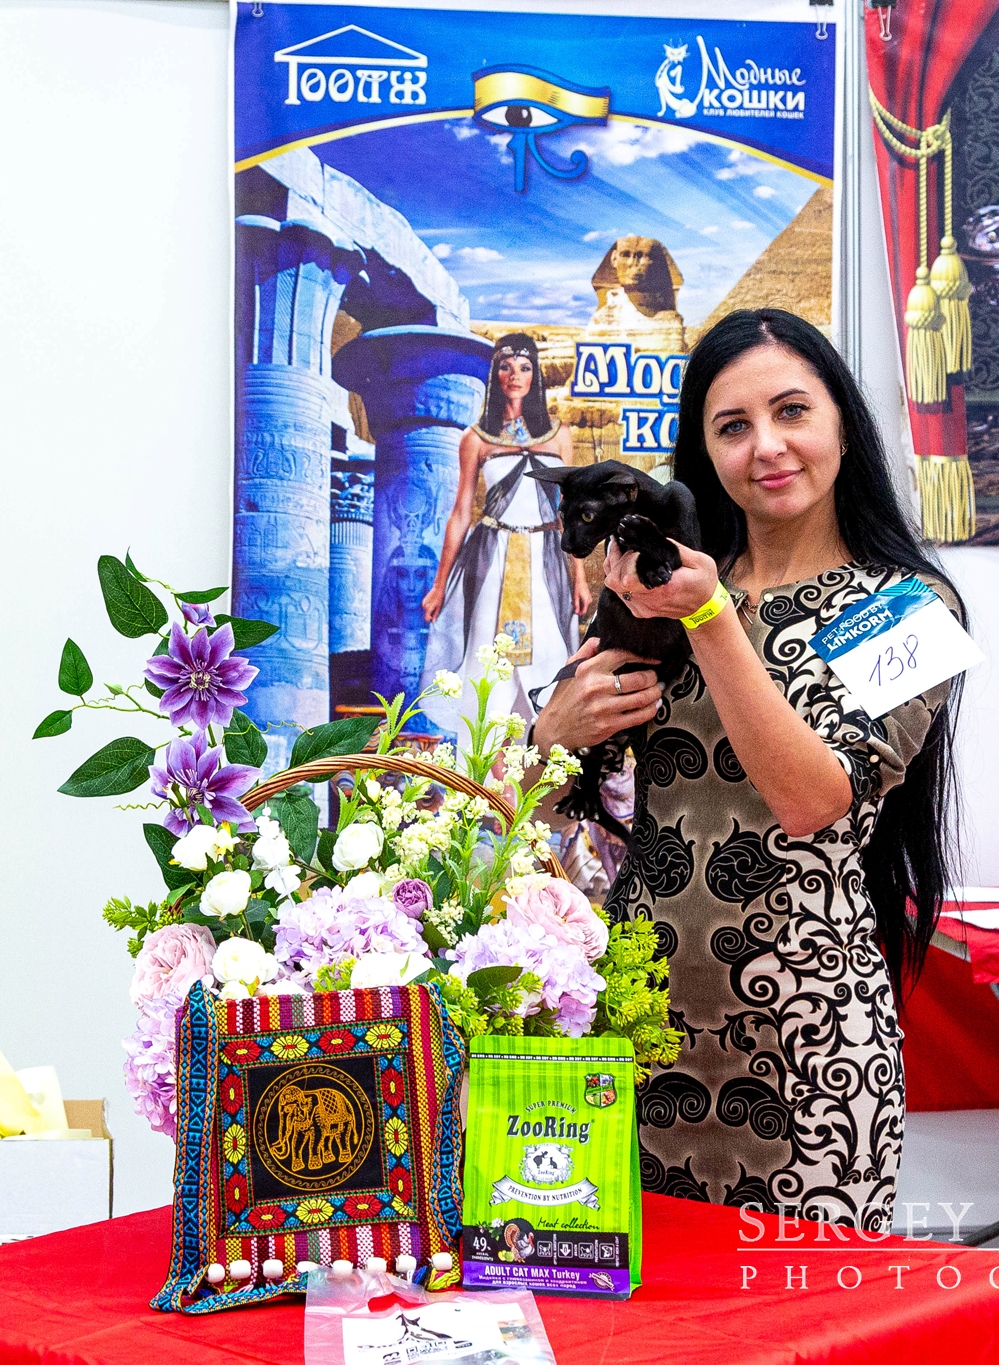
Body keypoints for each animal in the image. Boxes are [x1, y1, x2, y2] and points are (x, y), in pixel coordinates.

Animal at [526, 460, 702, 840]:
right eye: (562, 514)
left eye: (587, 516)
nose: (565, 543)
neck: (649, 508)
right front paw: (643, 551)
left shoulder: (695, 555)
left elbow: (672, 548)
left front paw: (647, 548)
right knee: (588, 761)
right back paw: (584, 800)